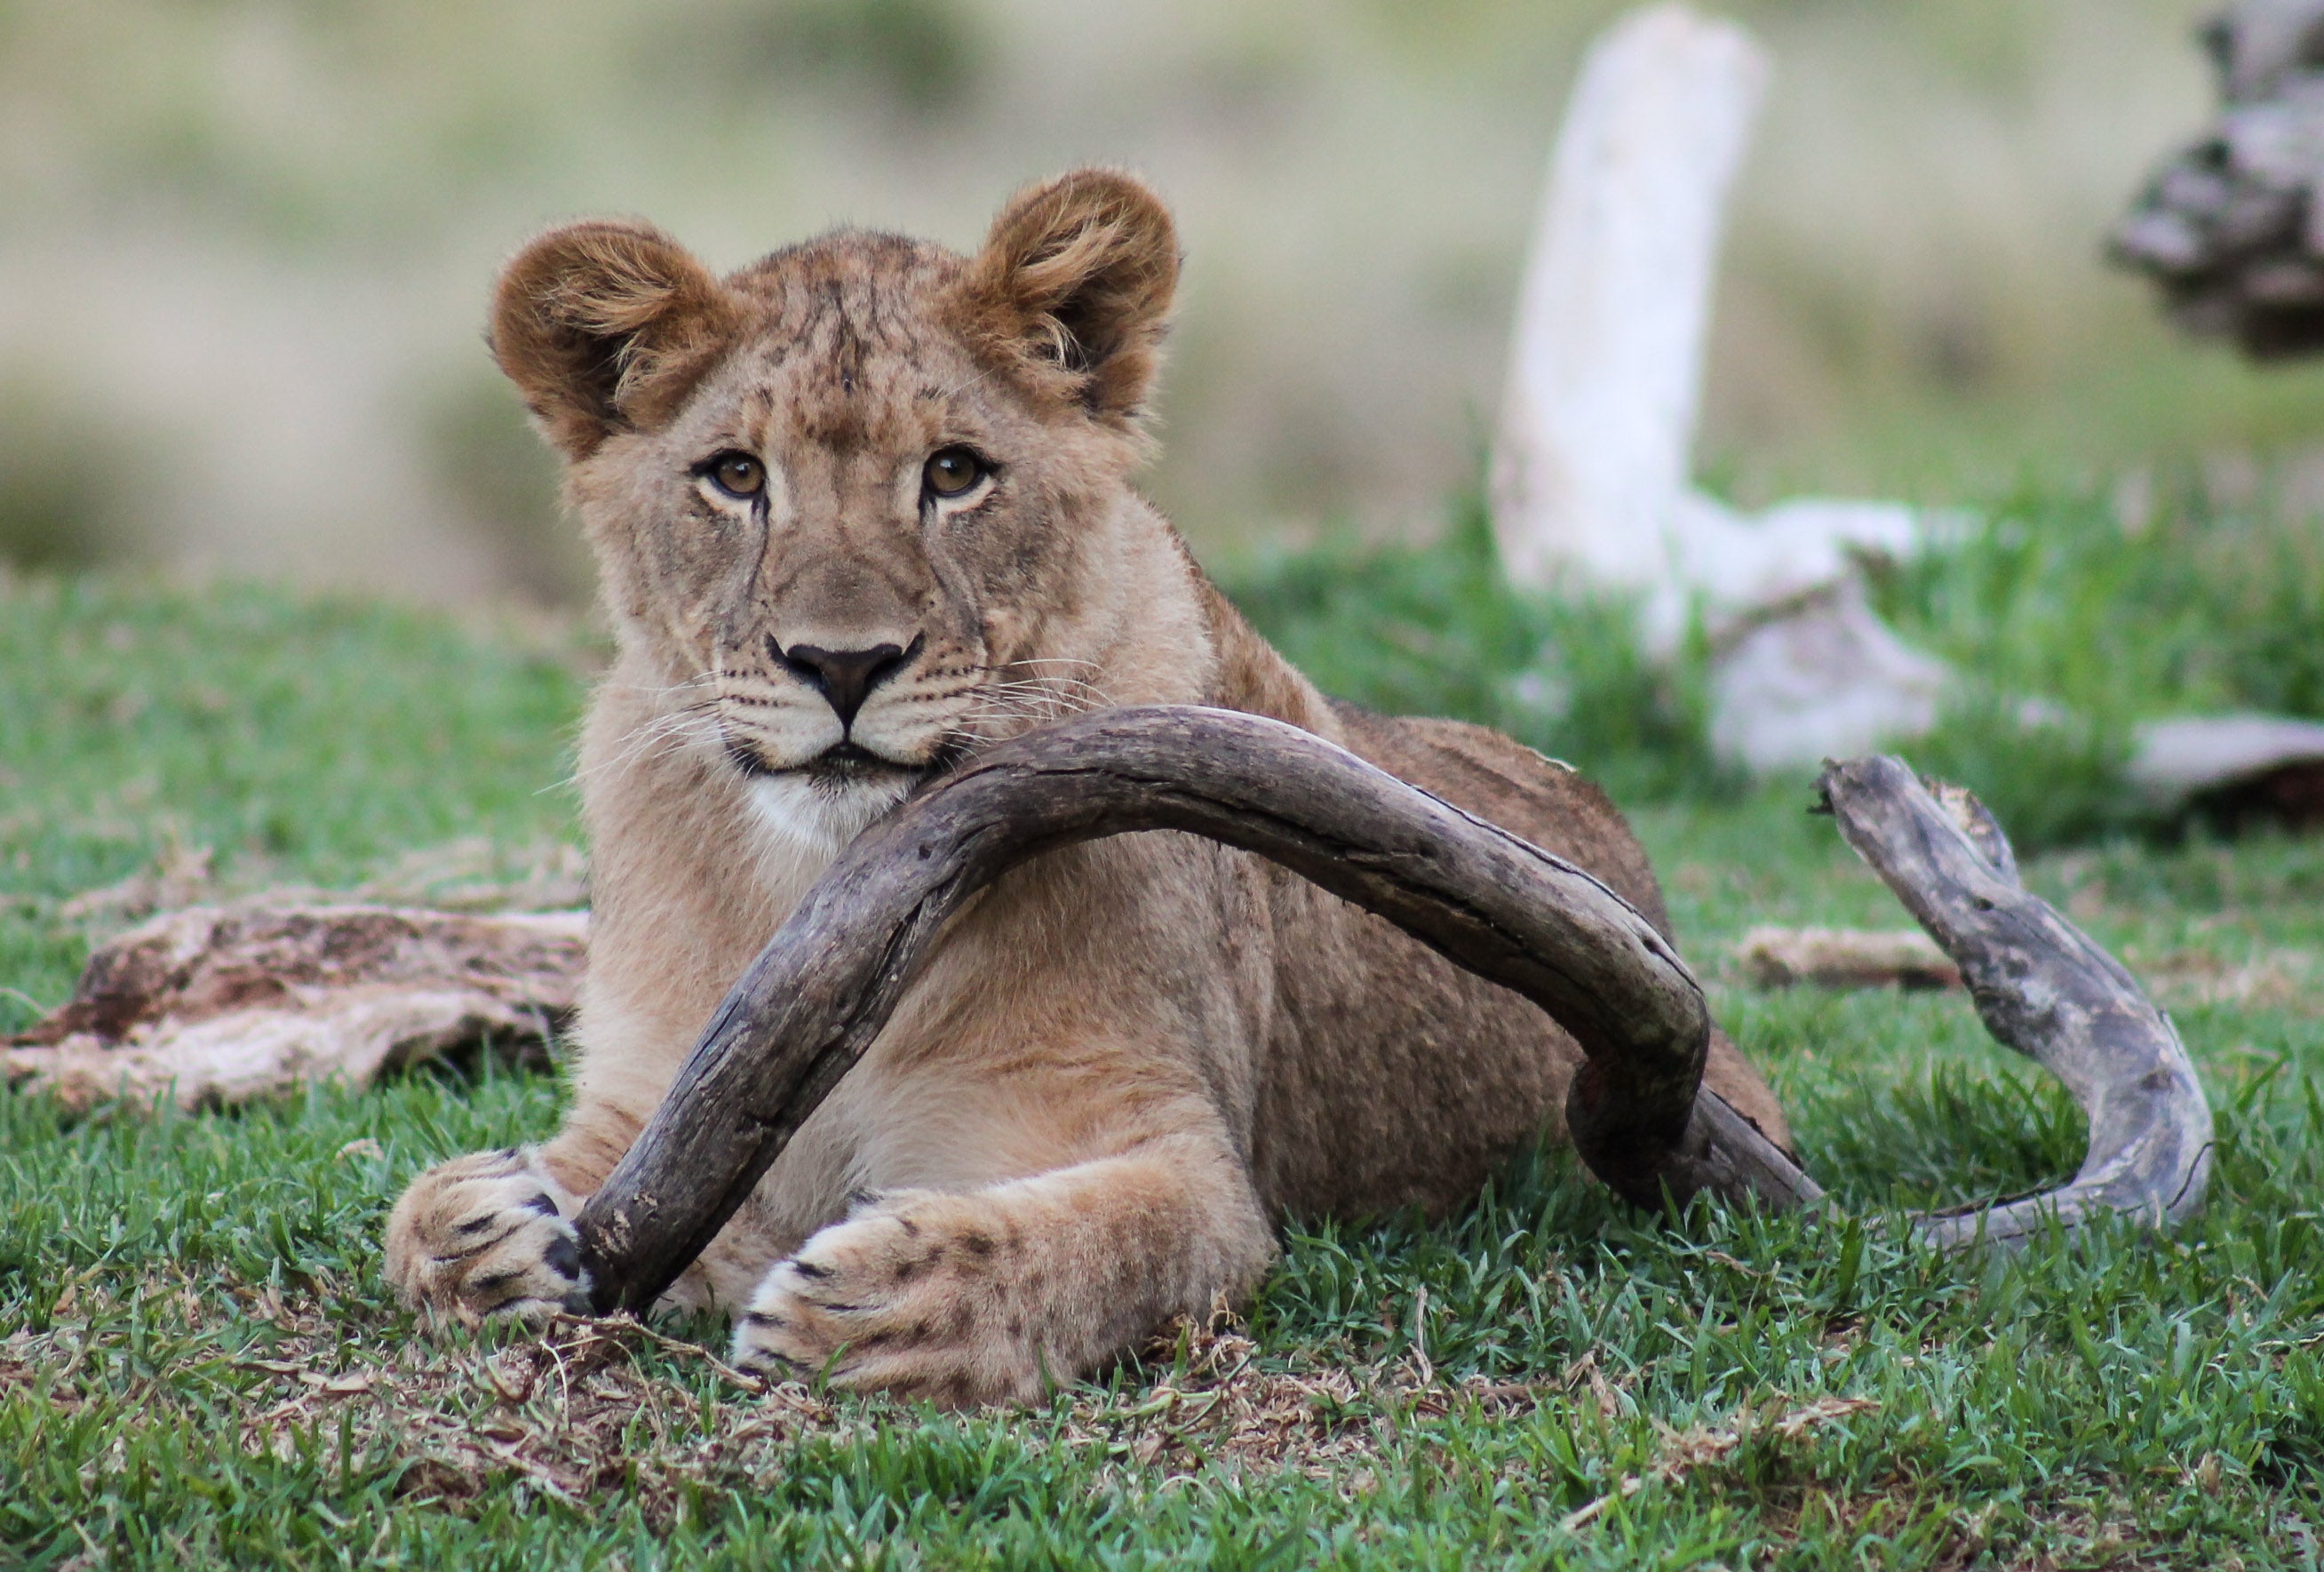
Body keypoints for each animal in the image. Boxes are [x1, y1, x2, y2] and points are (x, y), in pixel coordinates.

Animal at [385, 168, 1791, 1406]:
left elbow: (1089, 1245)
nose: (842, 665)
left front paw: (879, 1308)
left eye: (954, 473)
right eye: (736, 476)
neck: (816, 876)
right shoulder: (663, 1099)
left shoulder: (1170, 1146)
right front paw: (479, 1229)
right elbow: (443, 1211)